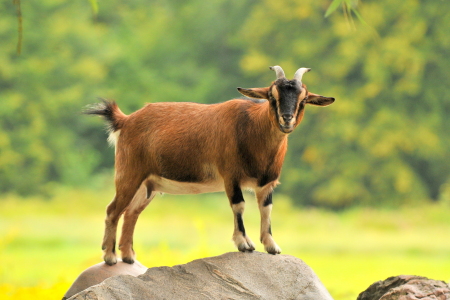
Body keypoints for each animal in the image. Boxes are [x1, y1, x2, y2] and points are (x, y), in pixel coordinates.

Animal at [86, 65, 336, 264]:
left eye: (303, 100)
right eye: (272, 97)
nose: (286, 119)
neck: (252, 129)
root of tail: (125, 120)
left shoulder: (267, 183)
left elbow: (266, 209)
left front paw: (271, 246)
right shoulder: (231, 176)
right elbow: (239, 206)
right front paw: (244, 244)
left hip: (148, 184)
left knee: (131, 213)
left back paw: (128, 257)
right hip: (129, 173)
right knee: (113, 210)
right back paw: (110, 257)